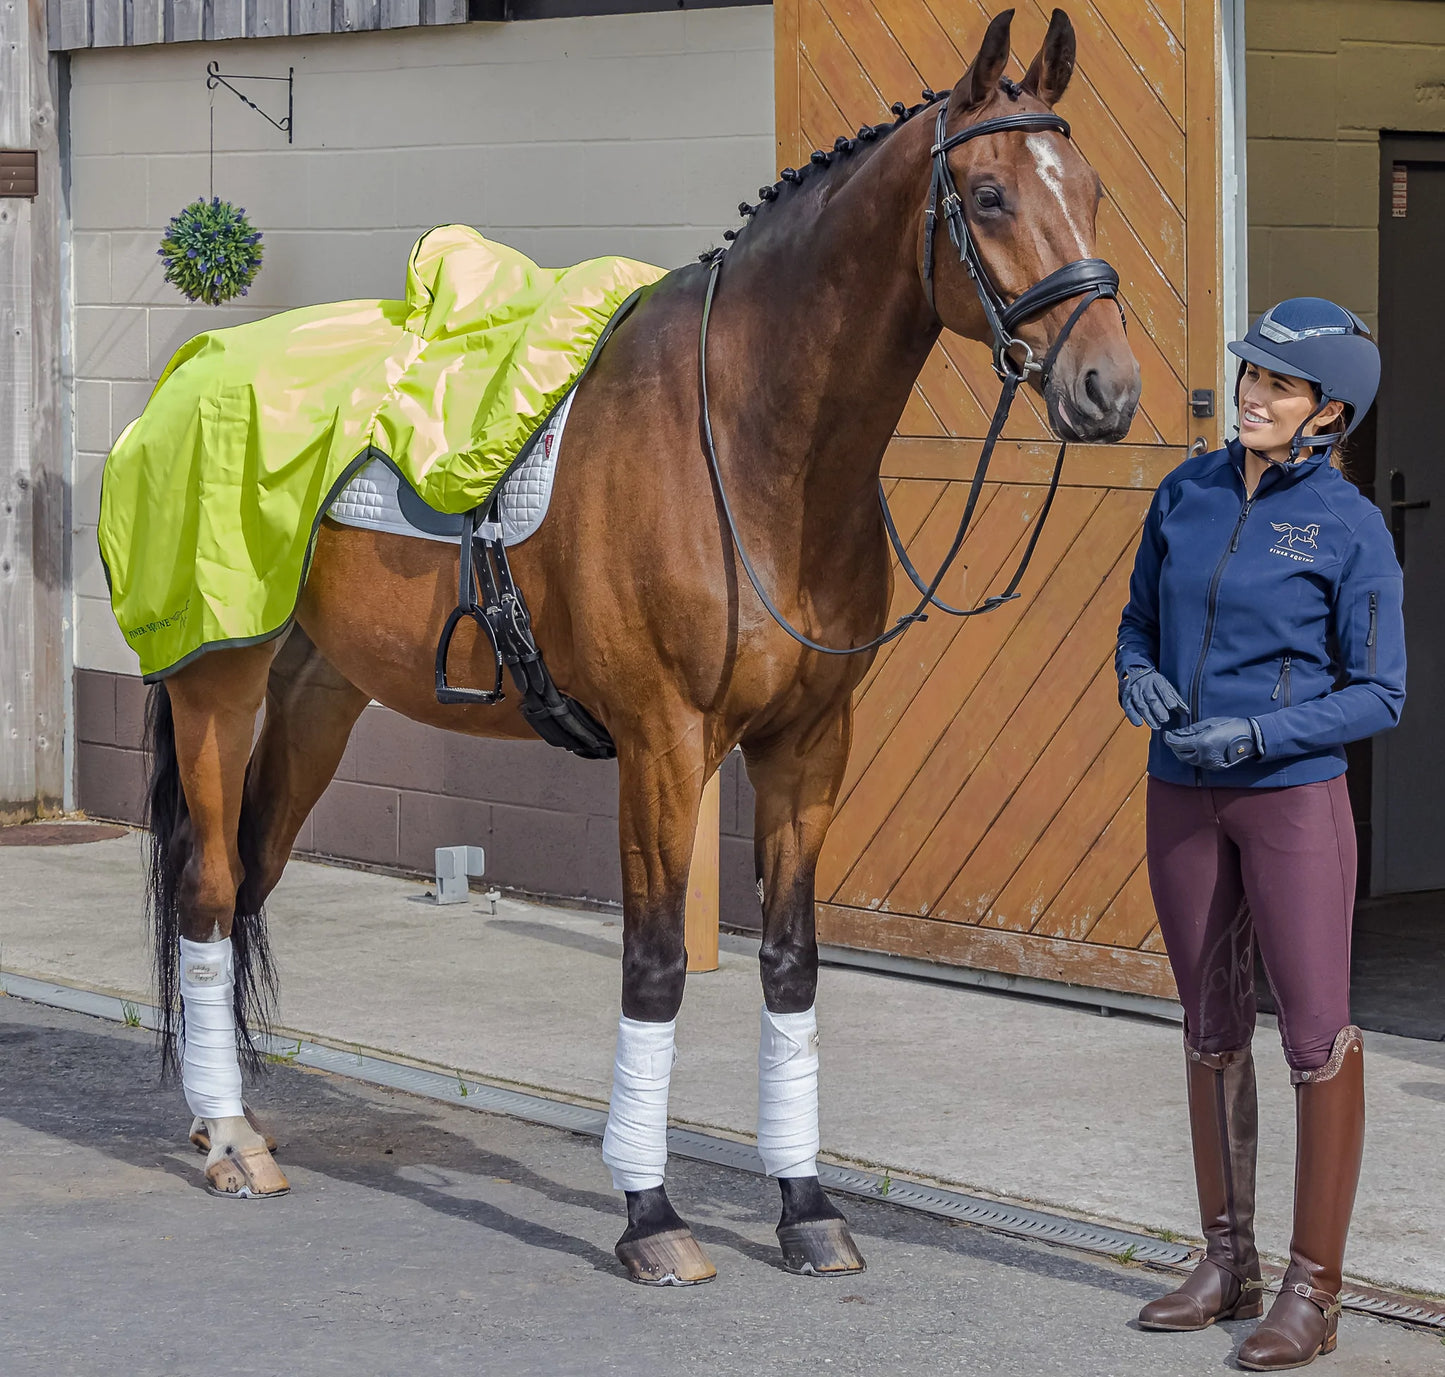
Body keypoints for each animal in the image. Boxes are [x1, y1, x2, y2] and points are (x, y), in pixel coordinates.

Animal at [143, 5, 1138, 1283]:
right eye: (989, 194)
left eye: (1093, 188)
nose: (1104, 388)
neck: (749, 446)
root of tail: (192, 374)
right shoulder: (664, 745)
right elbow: (656, 967)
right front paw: (650, 1214)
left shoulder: (808, 745)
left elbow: (789, 965)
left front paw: (805, 1205)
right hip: (215, 686)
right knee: (208, 890)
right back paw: (227, 1141)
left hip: (318, 698)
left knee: (250, 882)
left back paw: (235, 1121)